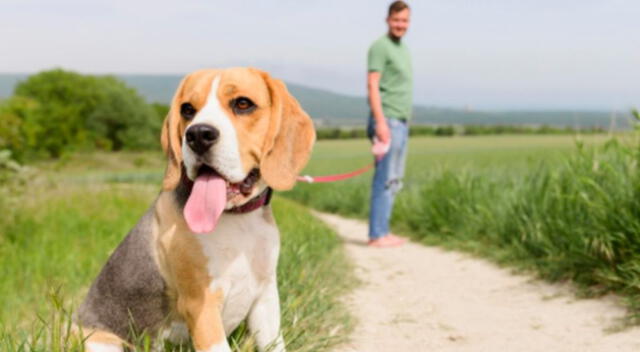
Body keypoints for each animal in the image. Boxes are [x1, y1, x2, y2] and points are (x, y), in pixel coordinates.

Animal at [76, 67, 316, 350]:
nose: (198, 134)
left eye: (243, 104)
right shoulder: (201, 304)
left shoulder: (265, 296)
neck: (237, 221)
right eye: (187, 109)